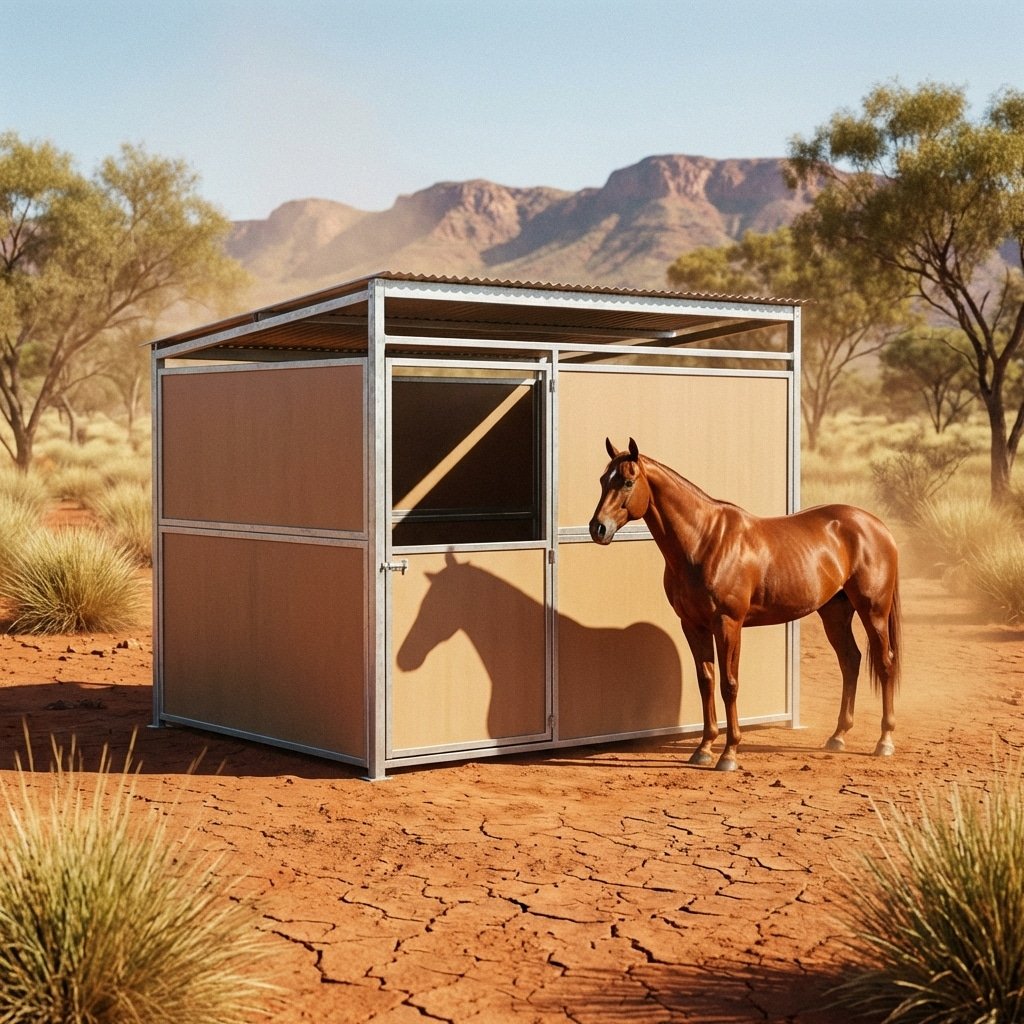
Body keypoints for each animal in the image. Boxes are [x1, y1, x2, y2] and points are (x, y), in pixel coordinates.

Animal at [589, 438, 901, 772]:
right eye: (602, 479)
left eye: (628, 481)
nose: (598, 528)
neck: (704, 541)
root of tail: (876, 525)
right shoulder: (693, 625)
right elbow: (706, 681)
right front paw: (704, 748)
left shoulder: (728, 624)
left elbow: (729, 684)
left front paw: (729, 754)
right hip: (835, 612)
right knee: (850, 661)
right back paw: (838, 736)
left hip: (873, 611)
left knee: (885, 663)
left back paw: (884, 741)